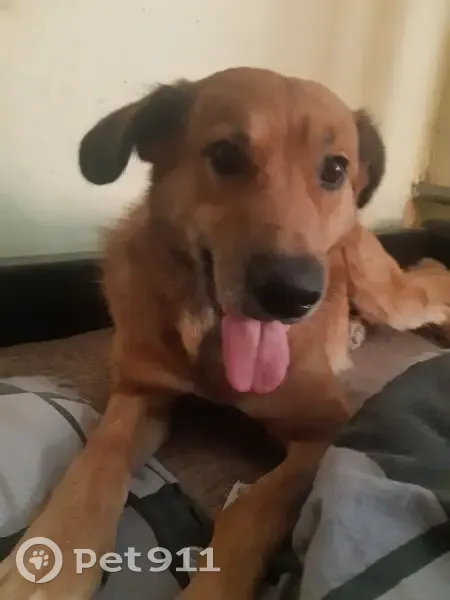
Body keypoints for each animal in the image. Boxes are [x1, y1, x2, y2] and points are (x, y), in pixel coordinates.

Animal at [2, 67, 450, 600]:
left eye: (335, 169)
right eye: (225, 156)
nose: (293, 293)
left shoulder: (326, 430)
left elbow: (252, 506)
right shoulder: (139, 392)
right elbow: (99, 460)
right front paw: (53, 559)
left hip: (386, 290)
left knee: (433, 278)